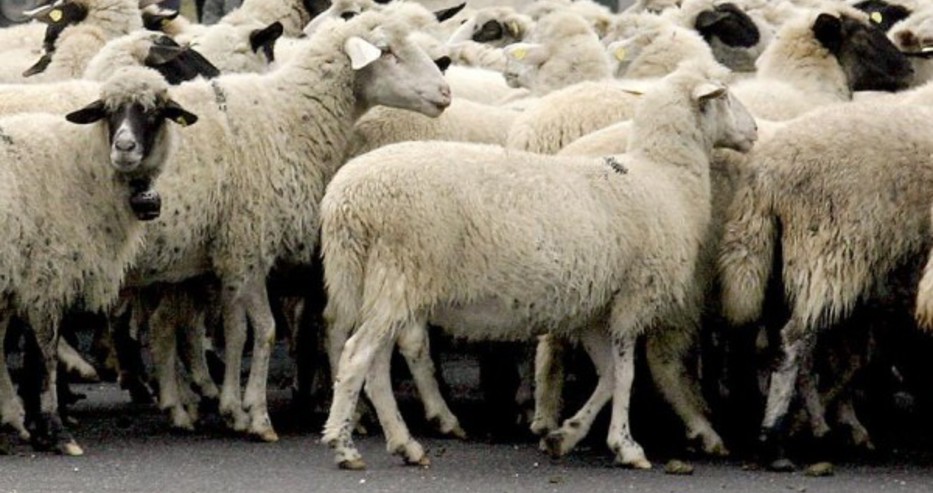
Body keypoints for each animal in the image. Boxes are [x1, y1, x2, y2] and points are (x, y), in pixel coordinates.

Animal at [0, 66, 198, 455]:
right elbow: (45, 355)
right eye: (109, 111)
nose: (124, 148)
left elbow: (33, 357)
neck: (81, 166)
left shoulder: (32, 281)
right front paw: (57, 431)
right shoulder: (46, 277)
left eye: (155, 112)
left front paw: (38, 427)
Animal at [114, 4, 452, 440]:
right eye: (387, 51)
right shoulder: (251, 244)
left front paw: (233, 408)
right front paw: (257, 415)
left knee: (161, 326)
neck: (290, 115)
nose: (445, 93)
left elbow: (237, 330)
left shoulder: (234, 255)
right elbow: (265, 330)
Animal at [319, 61, 757, 470]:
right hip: (399, 273)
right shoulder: (632, 298)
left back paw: (403, 444)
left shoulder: (593, 310)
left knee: (375, 365)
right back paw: (344, 445)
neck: (663, 177)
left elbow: (609, 376)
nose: (754, 131)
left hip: (375, 281)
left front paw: (565, 435)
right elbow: (627, 375)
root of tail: (346, 200)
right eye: (724, 95)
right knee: (357, 356)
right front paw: (627, 446)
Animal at [717, 99, 933, 470]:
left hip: (780, 267)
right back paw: (776, 439)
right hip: (827, 251)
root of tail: (765, 173)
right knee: (793, 342)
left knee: (771, 345)